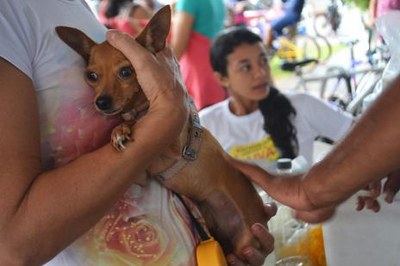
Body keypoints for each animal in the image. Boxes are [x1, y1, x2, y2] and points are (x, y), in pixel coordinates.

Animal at [55, 5, 268, 260]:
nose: (102, 102)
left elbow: (141, 123)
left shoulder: (173, 144)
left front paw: (122, 128)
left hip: (247, 241)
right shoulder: (141, 173)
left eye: (126, 72)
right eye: (91, 75)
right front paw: (119, 129)